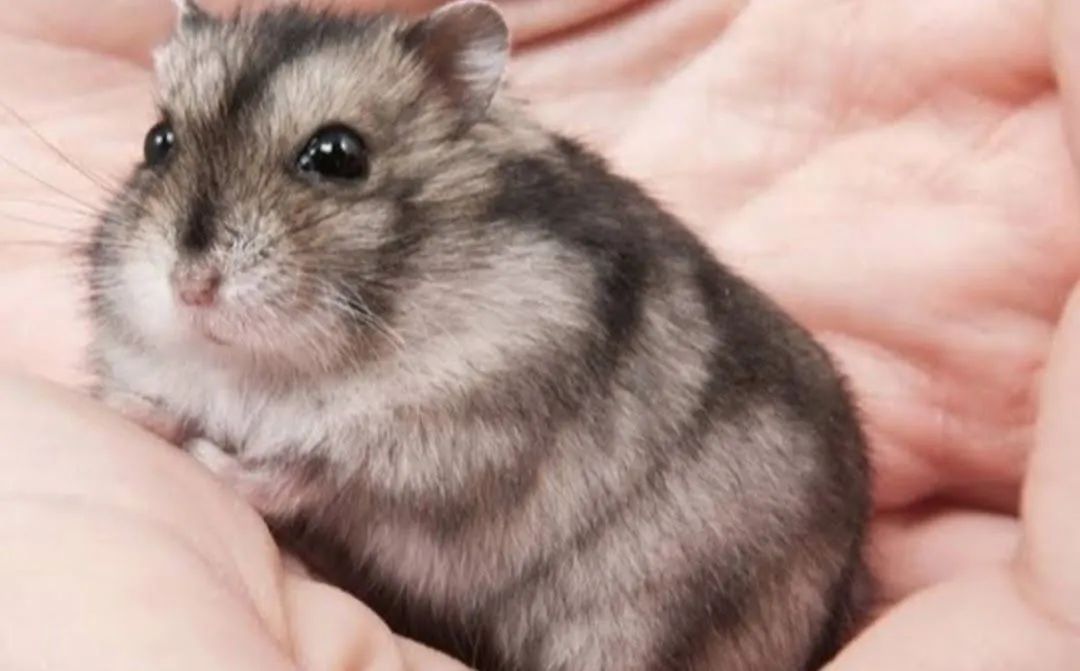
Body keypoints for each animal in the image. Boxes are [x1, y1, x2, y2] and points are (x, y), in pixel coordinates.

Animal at [87, 1, 871, 669]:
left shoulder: (453, 442)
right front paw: (128, 408)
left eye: (338, 155)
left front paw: (207, 456)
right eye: (157, 142)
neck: (273, 367)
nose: (191, 287)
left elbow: (304, 472)